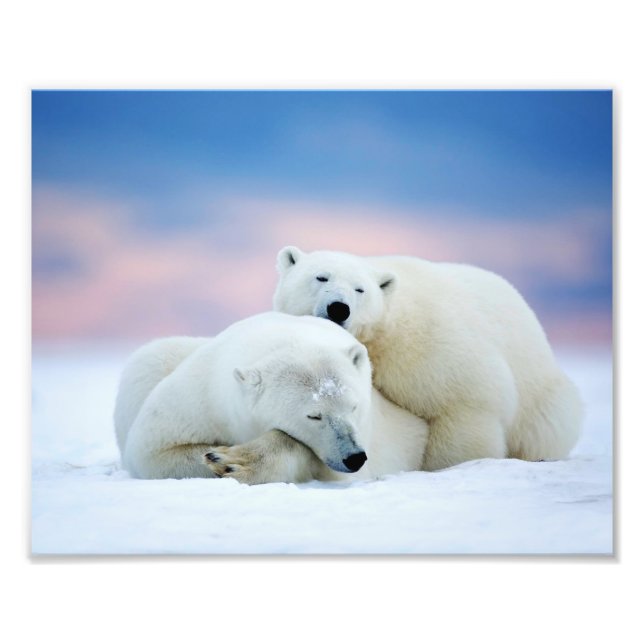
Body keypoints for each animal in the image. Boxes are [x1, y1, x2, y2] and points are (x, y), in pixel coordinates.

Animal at [113, 311, 428, 483]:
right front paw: (218, 457)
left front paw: (234, 461)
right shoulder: (202, 396)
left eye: (354, 406)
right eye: (314, 415)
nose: (354, 457)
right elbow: (154, 450)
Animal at [273, 246, 583, 470]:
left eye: (360, 289)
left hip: (540, 396)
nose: (339, 308)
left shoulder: (430, 349)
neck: (385, 332)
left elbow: (462, 406)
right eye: (321, 277)